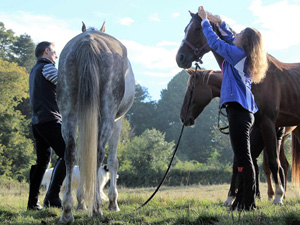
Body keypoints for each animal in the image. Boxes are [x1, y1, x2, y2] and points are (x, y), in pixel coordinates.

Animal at [56, 22, 135, 223]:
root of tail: (88, 42)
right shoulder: (117, 121)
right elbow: (113, 160)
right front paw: (113, 202)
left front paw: (81, 201)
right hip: (107, 114)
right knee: (98, 152)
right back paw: (97, 207)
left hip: (69, 112)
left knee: (70, 152)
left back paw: (67, 211)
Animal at [176, 11, 300, 206]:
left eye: (196, 28)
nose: (180, 57)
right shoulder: (252, 126)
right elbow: (240, 162)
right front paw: (232, 197)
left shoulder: (267, 123)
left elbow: (273, 162)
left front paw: (278, 197)